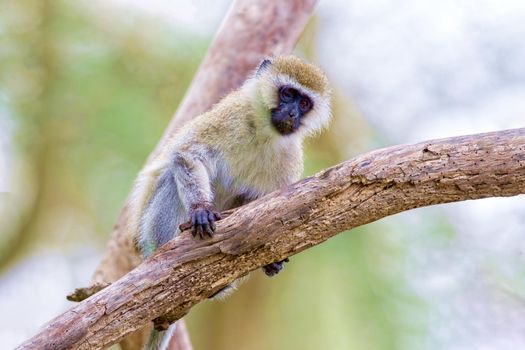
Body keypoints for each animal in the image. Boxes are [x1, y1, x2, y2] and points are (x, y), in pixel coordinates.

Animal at [127, 55, 330, 350]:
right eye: (288, 94)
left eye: (304, 104)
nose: (292, 114)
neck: (263, 133)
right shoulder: (229, 116)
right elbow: (188, 155)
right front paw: (201, 210)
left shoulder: (289, 160)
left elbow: (276, 216)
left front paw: (273, 262)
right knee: (171, 179)